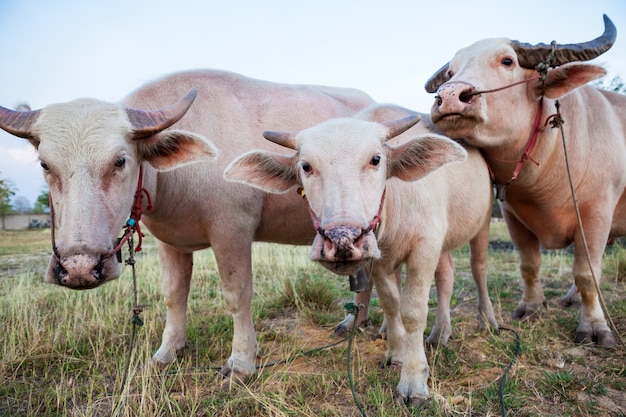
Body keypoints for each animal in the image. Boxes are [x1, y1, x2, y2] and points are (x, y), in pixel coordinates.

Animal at [222, 105, 494, 406]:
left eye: (376, 159)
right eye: (306, 166)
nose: (342, 239)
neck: (395, 203)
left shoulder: (425, 247)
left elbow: (413, 312)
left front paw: (414, 382)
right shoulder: (379, 258)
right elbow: (391, 303)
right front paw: (397, 353)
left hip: (483, 221)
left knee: (478, 268)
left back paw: (484, 320)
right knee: (446, 275)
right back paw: (438, 331)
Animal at [424, 13, 620, 344]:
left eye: (507, 61)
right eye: (451, 71)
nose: (449, 96)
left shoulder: (597, 214)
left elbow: (586, 271)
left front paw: (594, 326)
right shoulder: (512, 215)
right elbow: (529, 264)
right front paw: (531, 307)